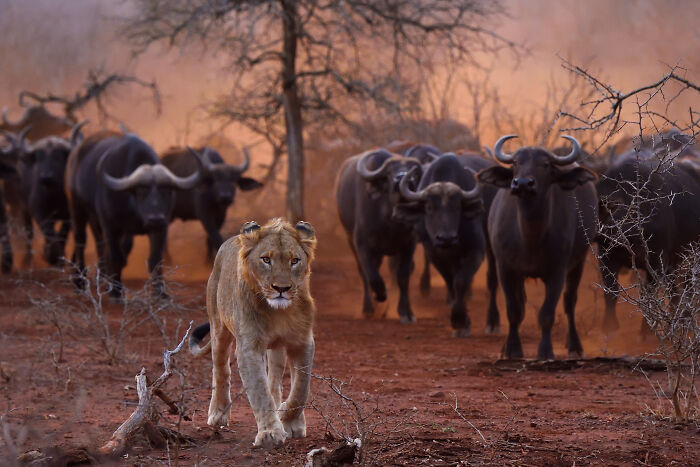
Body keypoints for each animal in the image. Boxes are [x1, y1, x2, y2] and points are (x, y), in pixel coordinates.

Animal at [66, 131, 202, 298]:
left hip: (95, 220)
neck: (136, 211)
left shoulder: (160, 229)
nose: (155, 218)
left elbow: (155, 260)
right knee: (81, 241)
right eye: (141, 192)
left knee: (100, 245)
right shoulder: (111, 226)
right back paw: (80, 282)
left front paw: (160, 293)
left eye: (165, 191)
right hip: (77, 209)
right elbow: (116, 257)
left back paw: (102, 279)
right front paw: (116, 292)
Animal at [189, 217, 317, 449]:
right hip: (219, 329)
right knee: (221, 370)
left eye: (294, 260)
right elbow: (259, 390)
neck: (279, 312)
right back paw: (218, 413)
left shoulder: (302, 342)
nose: (281, 289)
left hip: (276, 348)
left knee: (274, 379)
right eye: (266, 259)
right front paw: (270, 433)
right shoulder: (249, 346)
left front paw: (289, 420)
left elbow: (301, 388)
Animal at [336, 149, 423, 322]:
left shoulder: (409, 245)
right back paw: (369, 308)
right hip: (350, 240)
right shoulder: (362, 245)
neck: (389, 222)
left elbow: (403, 275)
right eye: (389, 173)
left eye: (414, 174)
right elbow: (371, 275)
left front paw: (406, 312)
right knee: (364, 273)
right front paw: (380, 295)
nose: (403, 180)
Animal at [394, 152, 500, 336]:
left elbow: (460, 281)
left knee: (492, 279)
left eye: (457, 207)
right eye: (429, 207)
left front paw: (459, 321)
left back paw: (492, 323)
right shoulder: (433, 252)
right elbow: (451, 282)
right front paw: (462, 319)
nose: (446, 238)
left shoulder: (476, 250)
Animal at [477, 135, 597, 360]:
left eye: (545, 164)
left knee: (570, 301)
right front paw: (512, 350)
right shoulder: (506, 268)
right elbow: (514, 310)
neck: (530, 236)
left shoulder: (557, 271)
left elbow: (547, 314)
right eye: (516, 163)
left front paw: (545, 351)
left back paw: (574, 345)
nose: (523, 184)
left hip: (578, 262)